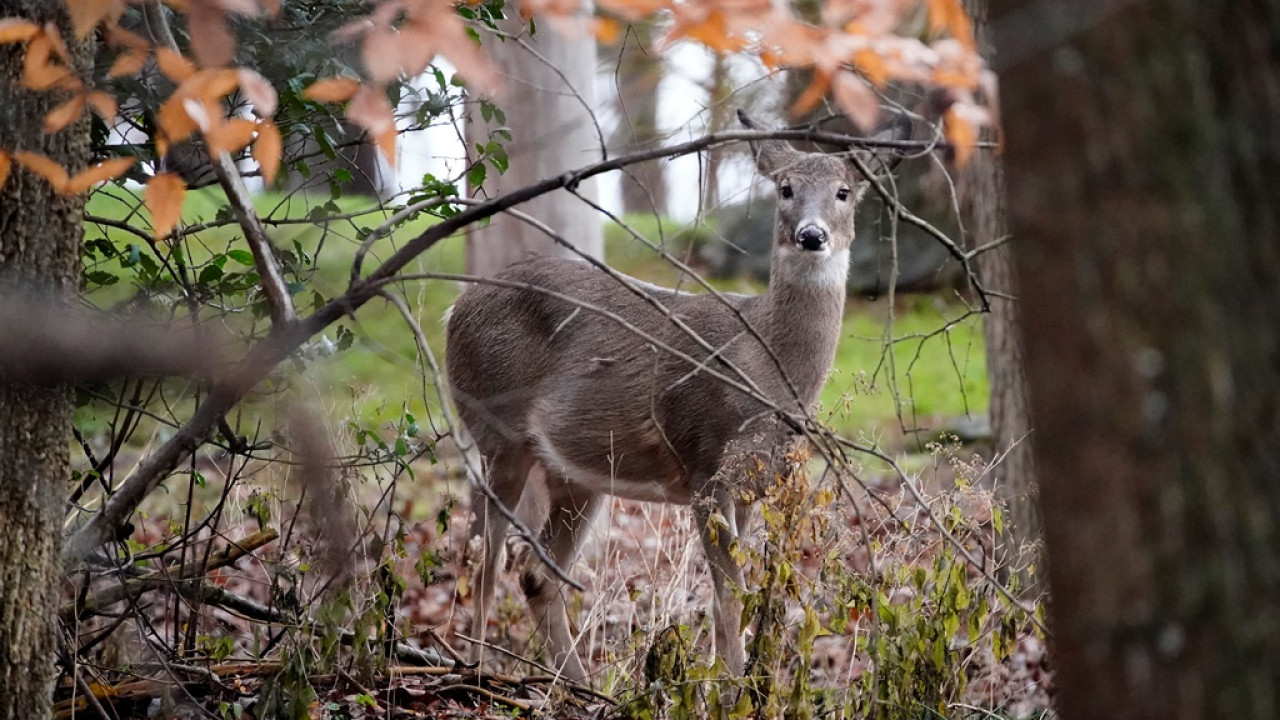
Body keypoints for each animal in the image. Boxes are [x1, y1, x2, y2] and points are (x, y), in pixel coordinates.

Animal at [450, 109, 911, 681]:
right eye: (785, 188)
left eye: (844, 191)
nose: (811, 234)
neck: (766, 373)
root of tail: (456, 306)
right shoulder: (704, 462)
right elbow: (730, 594)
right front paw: (735, 686)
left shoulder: (752, 484)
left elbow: (728, 596)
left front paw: (730, 682)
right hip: (494, 429)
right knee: (482, 559)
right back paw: (474, 669)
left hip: (577, 474)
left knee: (536, 574)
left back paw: (577, 685)